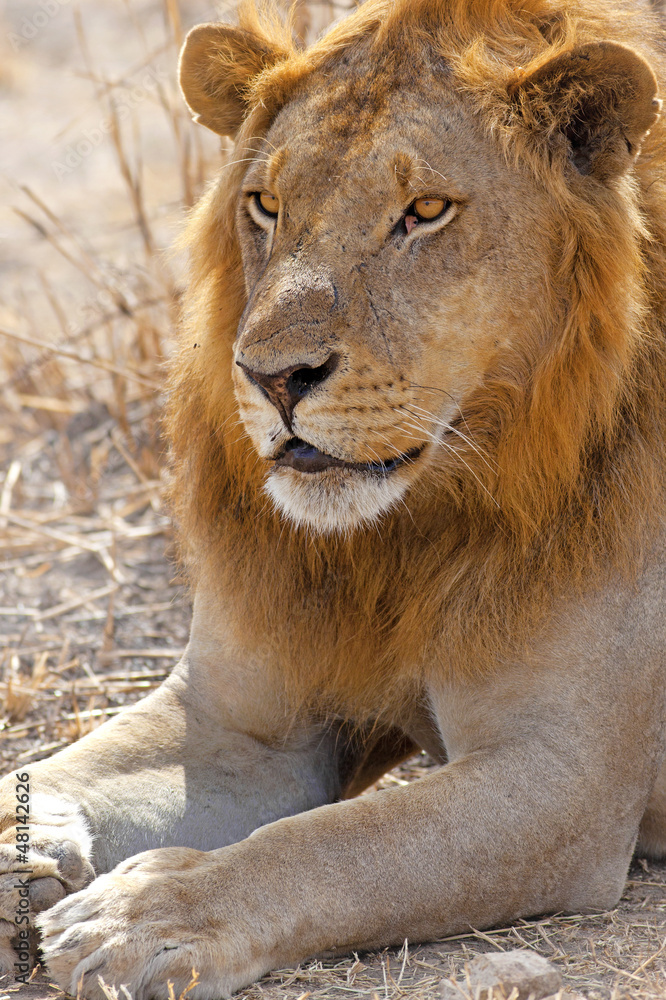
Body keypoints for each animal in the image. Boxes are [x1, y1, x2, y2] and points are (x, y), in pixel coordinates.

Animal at [0, 0, 665, 996]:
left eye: (424, 212)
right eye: (266, 205)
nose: (273, 378)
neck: (405, 533)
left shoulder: (564, 781)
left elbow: (335, 846)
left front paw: (149, 912)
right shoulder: (238, 724)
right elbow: (81, 763)